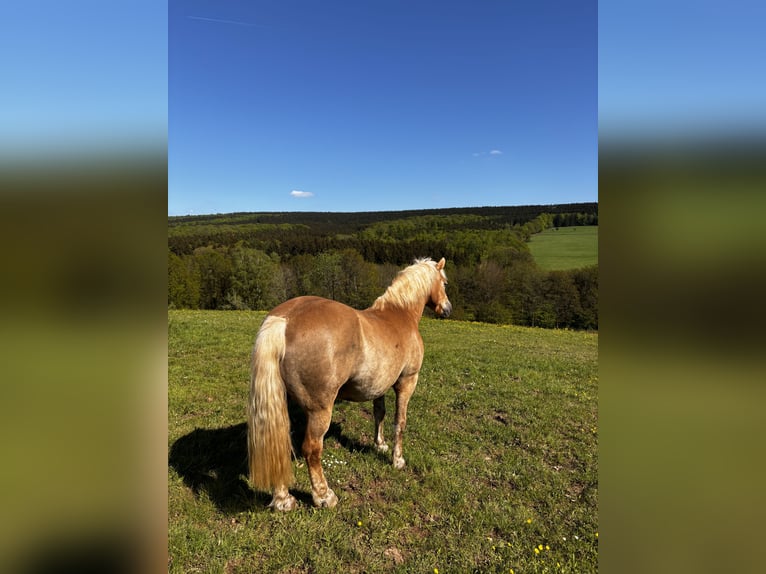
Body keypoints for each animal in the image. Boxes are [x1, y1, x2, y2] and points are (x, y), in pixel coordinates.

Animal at [246, 258, 452, 510]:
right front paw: (397, 459)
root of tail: (285, 319)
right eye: (444, 282)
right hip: (320, 410)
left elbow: (379, 413)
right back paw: (324, 496)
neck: (399, 313)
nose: (447, 308)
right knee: (312, 449)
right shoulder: (407, 381)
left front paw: (380, 444)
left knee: (280, 446)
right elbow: (399, 422)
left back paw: (283, 500)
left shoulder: (378, 385)